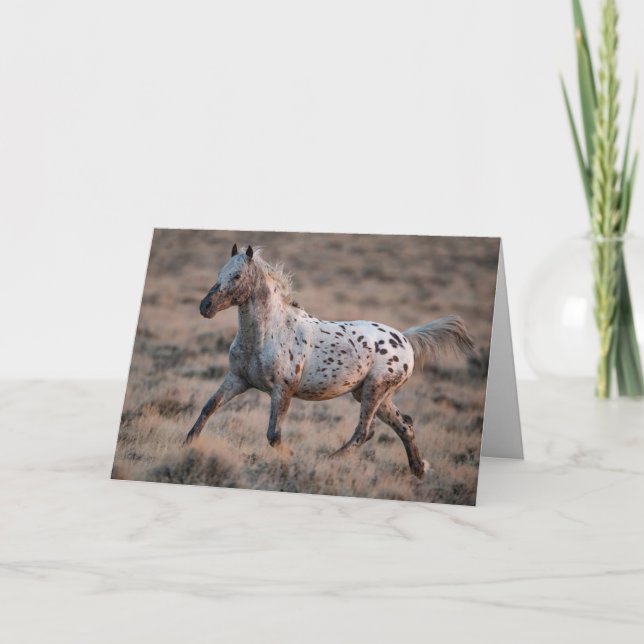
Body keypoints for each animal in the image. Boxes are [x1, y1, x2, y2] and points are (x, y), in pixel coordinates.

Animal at [184, 244, 475, 478]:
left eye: (236, 276)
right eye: (218, 274)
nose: (205, 306)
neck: (269, 333)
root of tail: (404, 339)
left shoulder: (282, 391)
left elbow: (273, 435)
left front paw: (294, 458)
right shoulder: (237, 379)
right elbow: (207, 409)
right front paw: (186, 444)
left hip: (375, 389)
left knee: (364, 432)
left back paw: (328, 461)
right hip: (372, 394)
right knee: (405, 425)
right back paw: (419, 470)